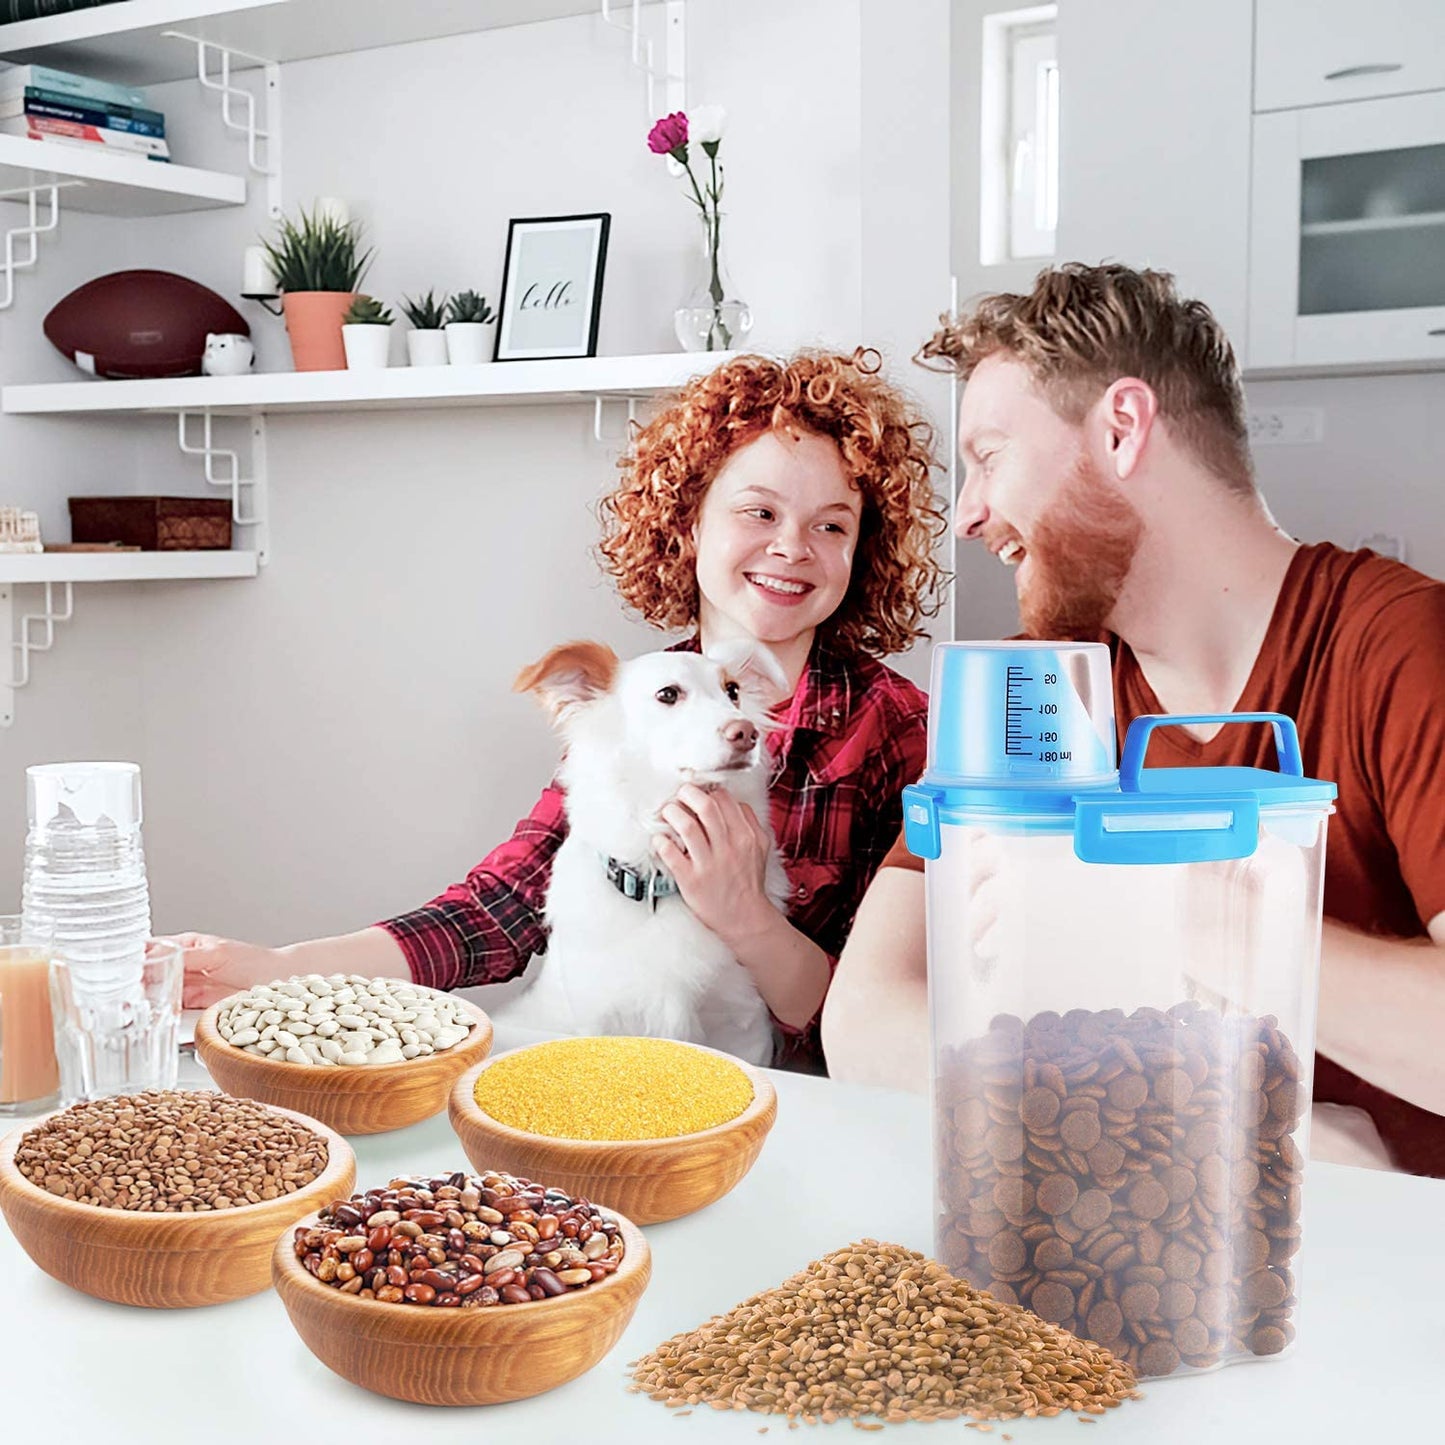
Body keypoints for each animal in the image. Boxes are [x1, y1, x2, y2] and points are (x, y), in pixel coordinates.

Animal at [499, 638, 791, 1069]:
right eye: (668, 694)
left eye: (733, 692)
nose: (746, 731)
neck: (659, 878)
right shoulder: (603, 1018)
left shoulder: (742, 1026)